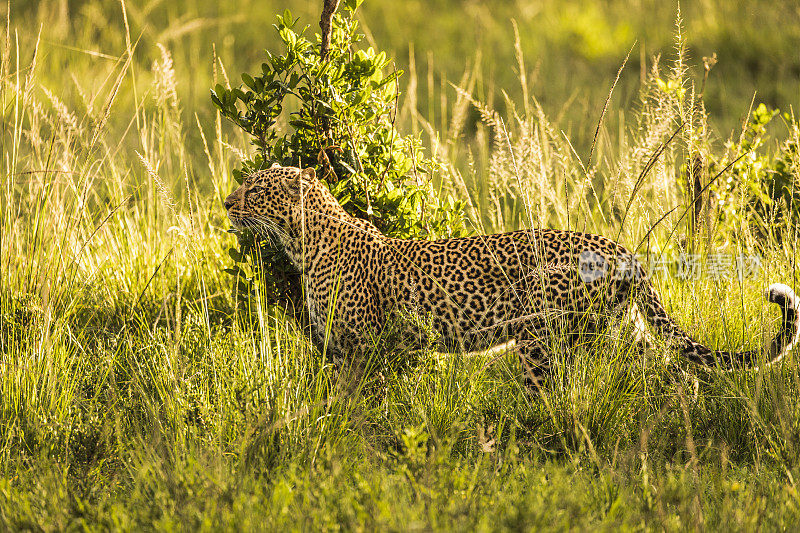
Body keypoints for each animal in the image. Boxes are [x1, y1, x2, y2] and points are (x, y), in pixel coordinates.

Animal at [225, 163, 800, 386]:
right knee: (668, 371)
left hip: (542, 333)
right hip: (618, 330)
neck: (304, 244)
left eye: (254, 191)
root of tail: (621, 250)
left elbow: (359, 405)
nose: (227, 203)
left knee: (549, 394)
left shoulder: (361, 350)